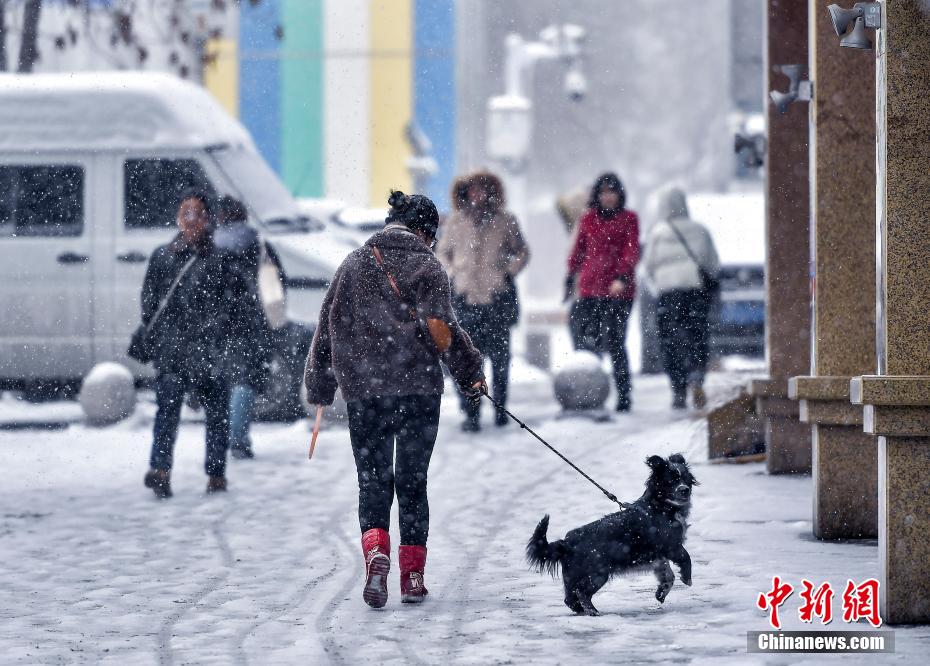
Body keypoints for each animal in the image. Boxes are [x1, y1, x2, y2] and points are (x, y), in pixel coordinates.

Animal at [524, 454, 692, 616]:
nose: (685, 489)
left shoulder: (659, 556)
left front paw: (661, 593)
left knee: (570, 598)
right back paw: (593, 612)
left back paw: (582, 610)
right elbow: (686, 557)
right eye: (672, 480)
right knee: (581, 592)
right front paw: (687, 578)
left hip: (572, 576)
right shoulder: (671, 544)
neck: (661, 506)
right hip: (598, 573)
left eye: (686, 479)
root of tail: (566, 543)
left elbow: (668, 575)